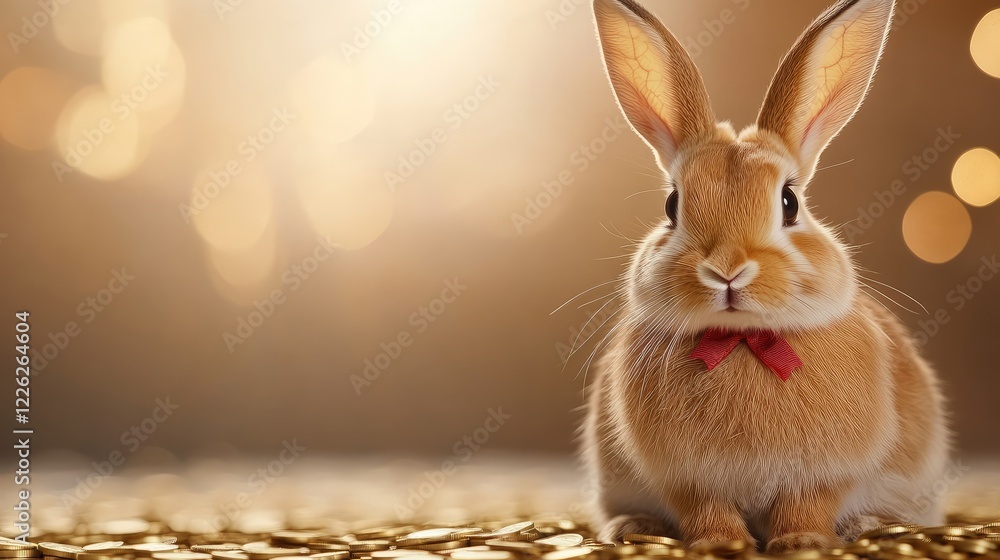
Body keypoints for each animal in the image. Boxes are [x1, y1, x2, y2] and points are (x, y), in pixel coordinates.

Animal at [580, 0, 950, 553]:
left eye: (789, 202)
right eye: (672, 206)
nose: (727, 271)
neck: (742, 339)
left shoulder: (821, 476)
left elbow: (806, 504)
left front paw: (801, 542)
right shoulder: (690, 482)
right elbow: (706, 510)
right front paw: (720, 545)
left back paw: (868, 525)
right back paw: (635, 528)